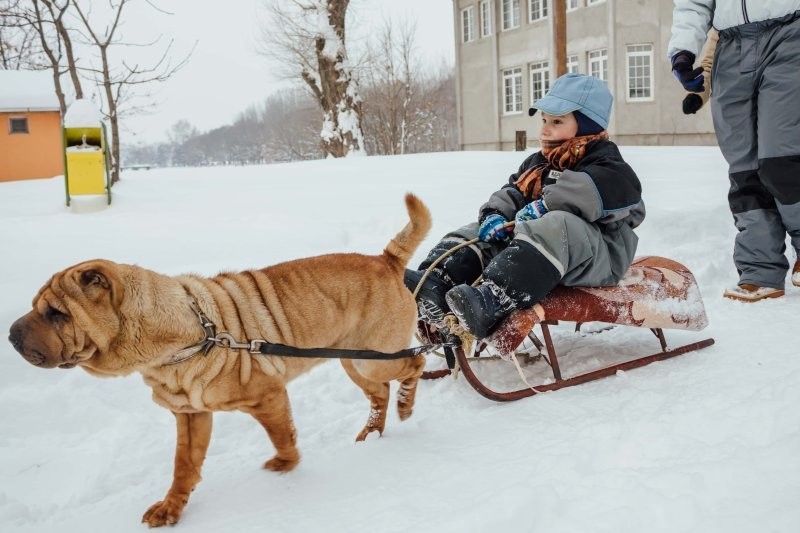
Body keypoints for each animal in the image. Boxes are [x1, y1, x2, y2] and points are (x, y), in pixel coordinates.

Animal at [9, 193, 432, 524]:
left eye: (56, 313)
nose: (11, 336)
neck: (184, 336)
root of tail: (386, 260)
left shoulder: (268, 397)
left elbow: (282, 435)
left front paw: (286, 464)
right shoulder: (191, 414)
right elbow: (184, 465)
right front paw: (170, 508)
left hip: (375, 357)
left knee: (415, 364)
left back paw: (407, 404)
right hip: (353, 362)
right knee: (379, 393)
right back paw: (372, 432)